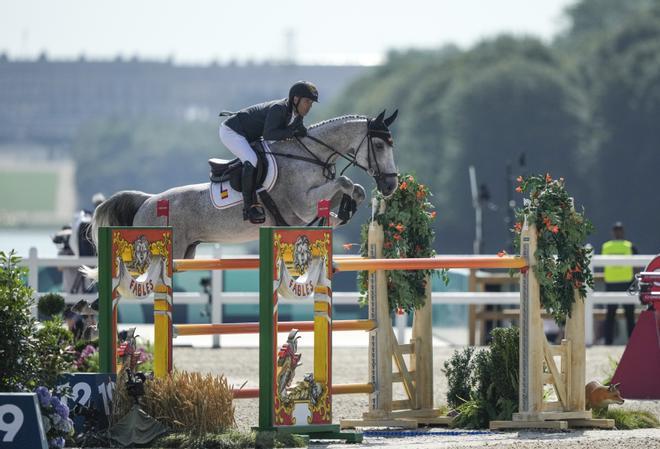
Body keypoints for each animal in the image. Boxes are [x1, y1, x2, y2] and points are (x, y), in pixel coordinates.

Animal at [87, 109, 398, 260]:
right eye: (379, 145)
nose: (391, 186)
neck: (310, 155)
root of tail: (148, 201)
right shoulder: (302, 204)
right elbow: (344, 181)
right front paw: (345, 208)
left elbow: (351, 191)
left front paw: (344, 211)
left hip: (187, 250)